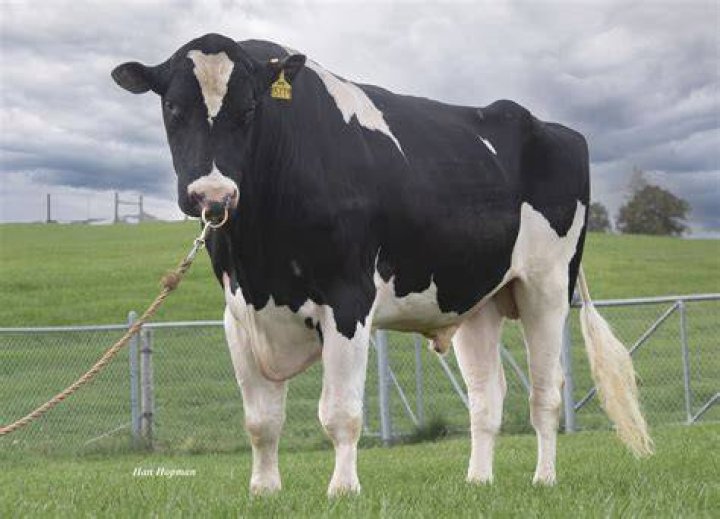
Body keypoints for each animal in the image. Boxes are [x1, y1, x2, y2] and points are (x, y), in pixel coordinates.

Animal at [112, 33, 652, 496]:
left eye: (248, 109)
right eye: (172, 107)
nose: (213, 195)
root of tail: (553, 128)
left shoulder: (348, 298)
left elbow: (341, 412)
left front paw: (343, 489)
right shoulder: (239, 311)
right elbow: (261, 420)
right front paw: (264, 490)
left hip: (547, 286)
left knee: (546, 393)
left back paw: (544, 479)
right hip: (477, 299)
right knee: (487, 396)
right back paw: (478, 481)